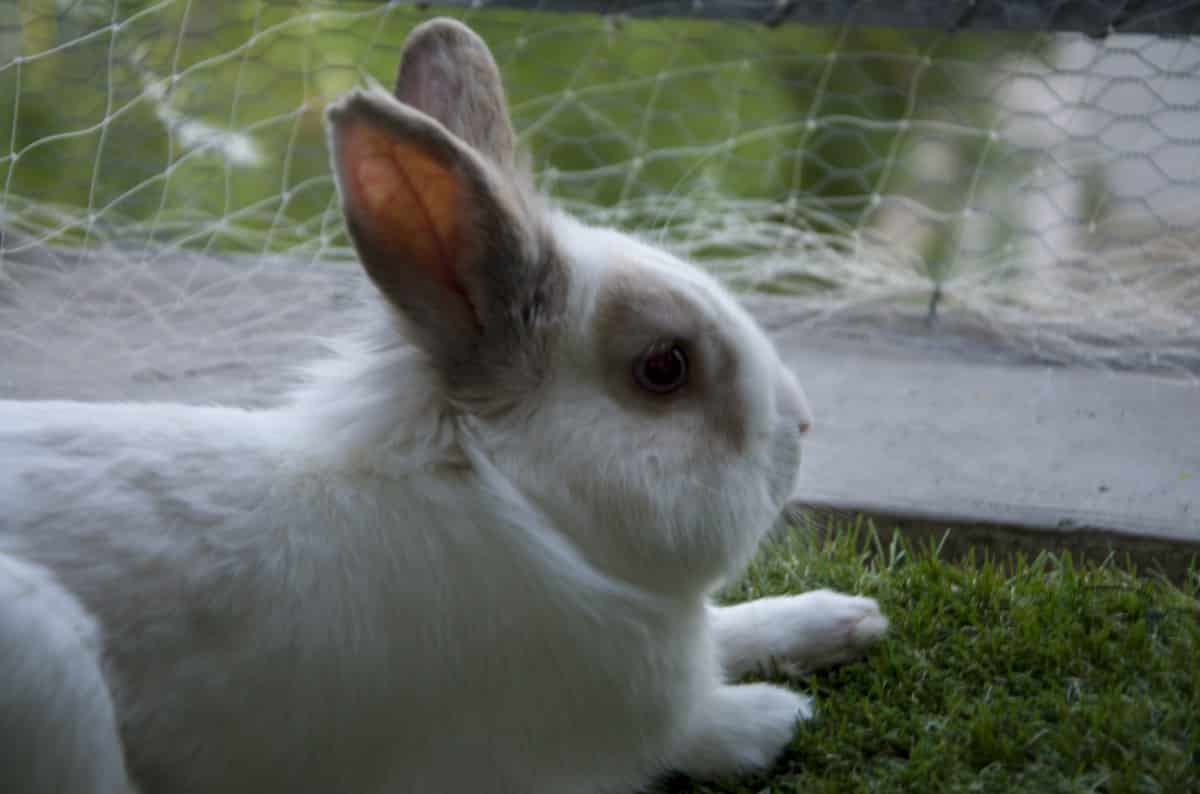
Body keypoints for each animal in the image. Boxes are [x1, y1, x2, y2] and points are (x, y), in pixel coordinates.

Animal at [0, 18, 883, 794]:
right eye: (664, 368)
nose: (802, 424)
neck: (504, 496)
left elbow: (735, 626)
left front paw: (847, 619)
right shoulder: (599, 740)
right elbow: (697, 733)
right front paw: (775, 716)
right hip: (48, 672)